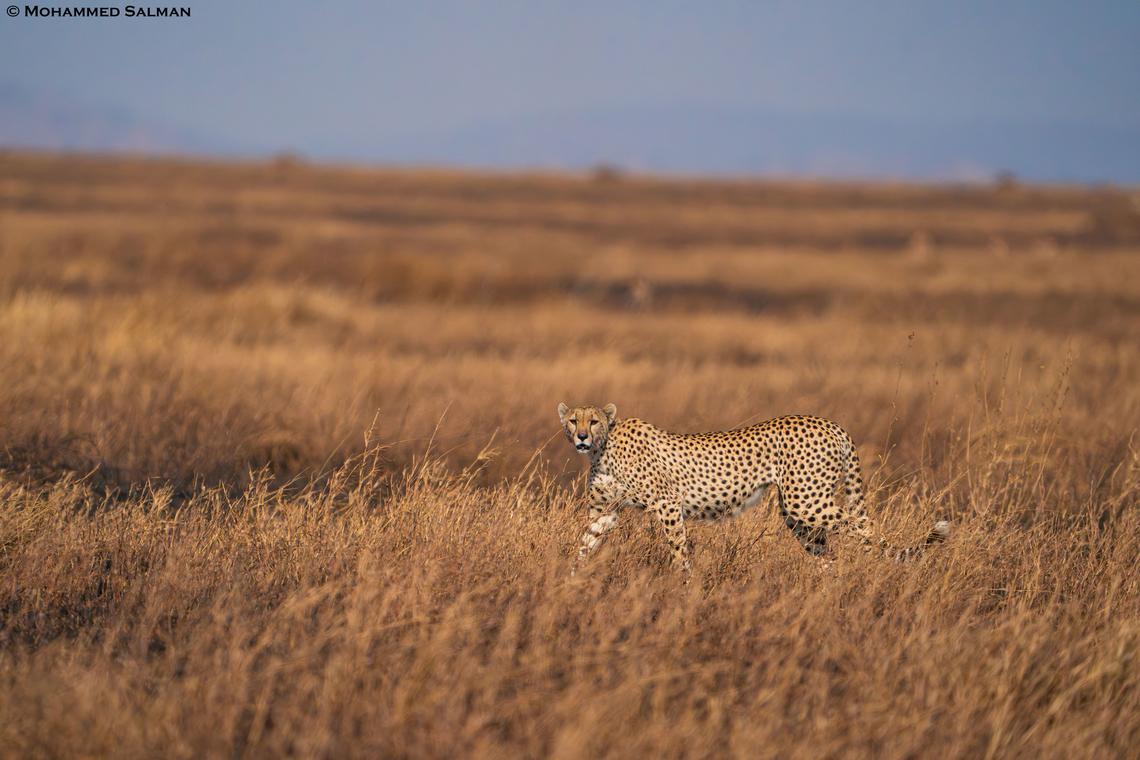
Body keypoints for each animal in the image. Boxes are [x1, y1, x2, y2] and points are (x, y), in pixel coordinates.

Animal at [558, 403, 950, 574]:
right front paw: (570, 578)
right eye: (572, 420)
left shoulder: (668, 503)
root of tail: (829, 422)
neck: (604, 447)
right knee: (827, 551)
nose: (581, 437)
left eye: (594, 420)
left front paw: (683, 583)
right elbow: (585, 542)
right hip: (797, 512)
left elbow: (678, 549)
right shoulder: (606, 512)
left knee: (863, 527)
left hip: (806, 501)